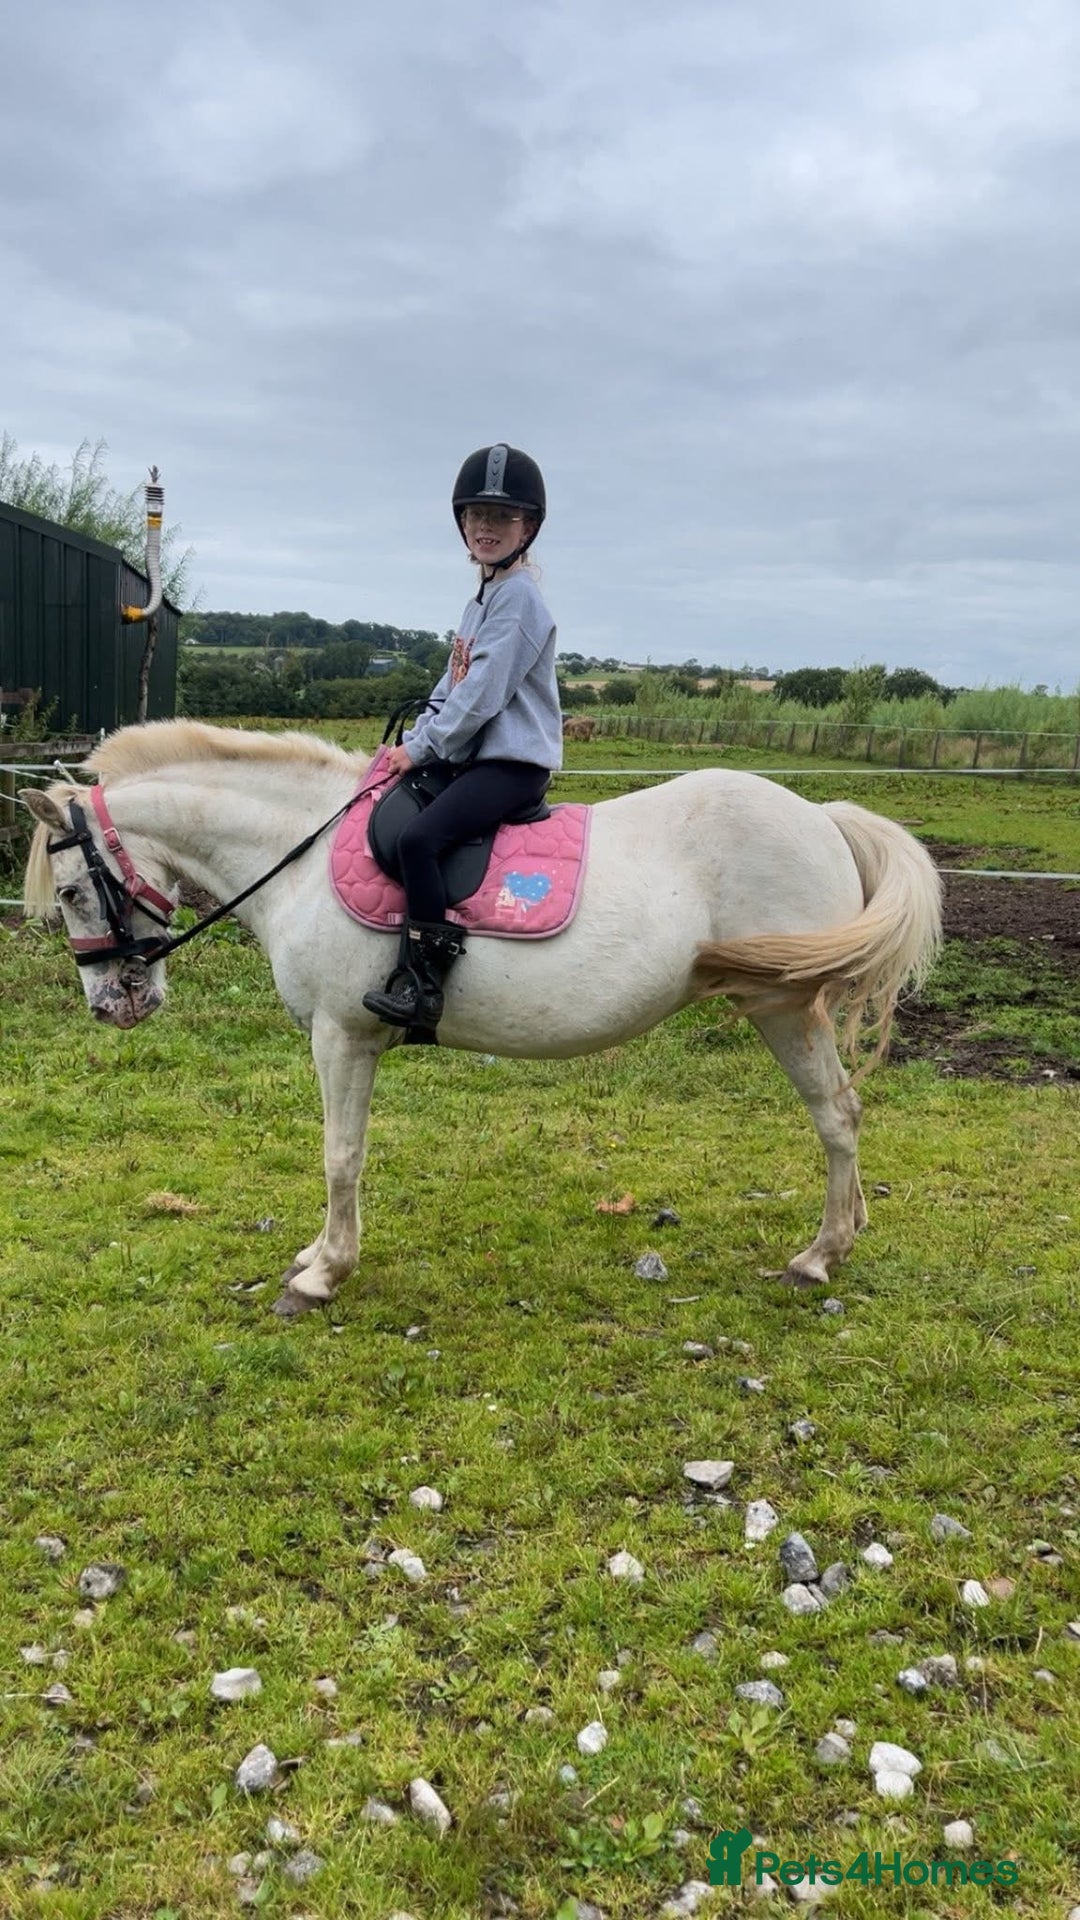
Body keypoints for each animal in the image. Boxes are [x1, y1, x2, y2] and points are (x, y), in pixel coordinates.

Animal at [22, 720, 942, 1317]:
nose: (113, 1005)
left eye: (69, 892)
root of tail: (822, 818)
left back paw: (818, 1258)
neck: (301, 856)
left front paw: (323, 1273)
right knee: (843, 1116)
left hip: (783, 1008)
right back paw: (850, 1228)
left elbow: (341, 1155)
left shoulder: (342, 1037)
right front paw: (318, 1256)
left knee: (837, 1117)